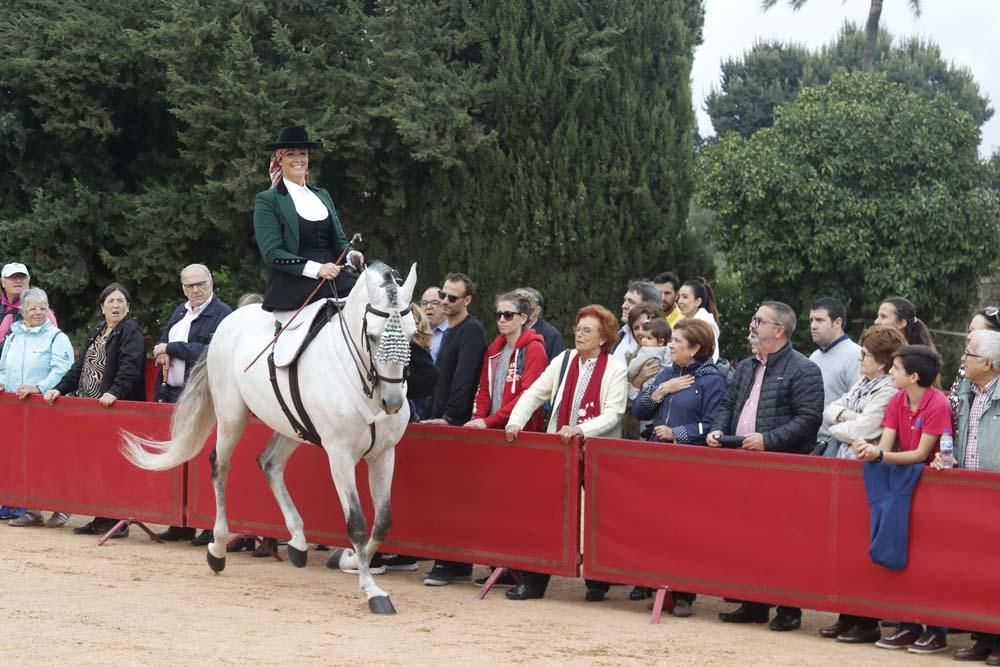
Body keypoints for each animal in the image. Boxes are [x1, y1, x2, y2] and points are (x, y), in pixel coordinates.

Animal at [123, 260, 416, 616]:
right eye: (372, 336)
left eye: (412, 333)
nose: (393, 403)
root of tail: (228, 322)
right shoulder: (340, 456)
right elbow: (357, 522)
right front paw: (372, 591)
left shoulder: (384, 453)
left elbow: (383, 520)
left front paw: (346, 560)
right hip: (232, 418)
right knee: (220, 467)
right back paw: (218, 549)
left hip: (292, 424)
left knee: (269, 463)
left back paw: (298, 542)